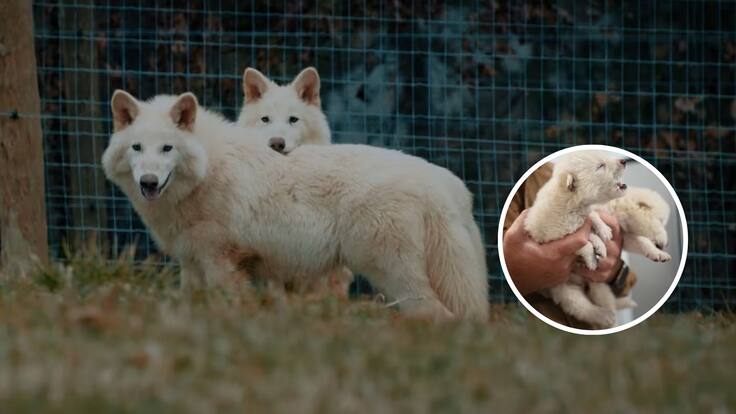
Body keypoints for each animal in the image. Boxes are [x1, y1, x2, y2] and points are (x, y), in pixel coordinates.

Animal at [101, 90, 489, 320]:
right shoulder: (193, 265)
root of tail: (442, 182)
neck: (207, 170)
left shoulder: (223, 264)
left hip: (392, 276)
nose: (148, 182)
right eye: (137, 148)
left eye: (167, 148)